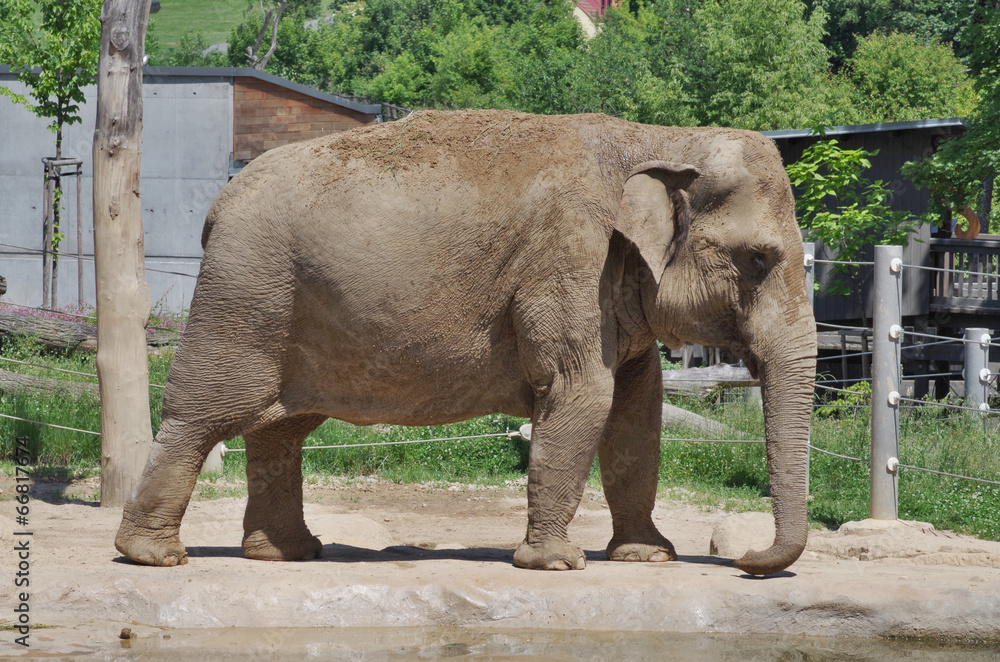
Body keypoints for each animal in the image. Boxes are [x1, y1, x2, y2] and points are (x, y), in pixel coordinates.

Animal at [115, 109, 816, 576]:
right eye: (758, 259)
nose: (746, 558)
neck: (658, 137)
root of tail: (218, 204)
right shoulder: (568, 263)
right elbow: (582, 395)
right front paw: (556, 565)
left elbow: (637, 414)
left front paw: (647, 556)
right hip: (245, 290)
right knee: (207, 410)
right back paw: (154, 556)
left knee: (279, 426)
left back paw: (286, 554)